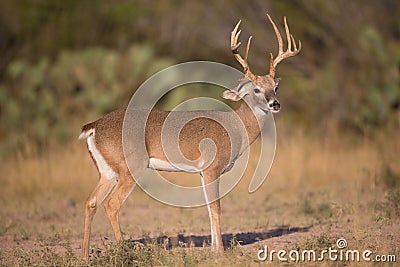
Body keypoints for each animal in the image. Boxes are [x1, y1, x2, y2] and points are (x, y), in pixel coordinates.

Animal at [79, 14, 300, 260]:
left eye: (275, 88)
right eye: (257, 89)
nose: (275, 104)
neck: (236, 129)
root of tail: (94, 126)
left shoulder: (203, 172)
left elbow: (208, 207)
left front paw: (213, 248)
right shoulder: (212, 167)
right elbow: (216, 208)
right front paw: (220, 251)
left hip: (107, 170)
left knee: (91, 202)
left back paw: (85, 255)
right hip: (131, 166)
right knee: (112, 204)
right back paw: (125, 252)